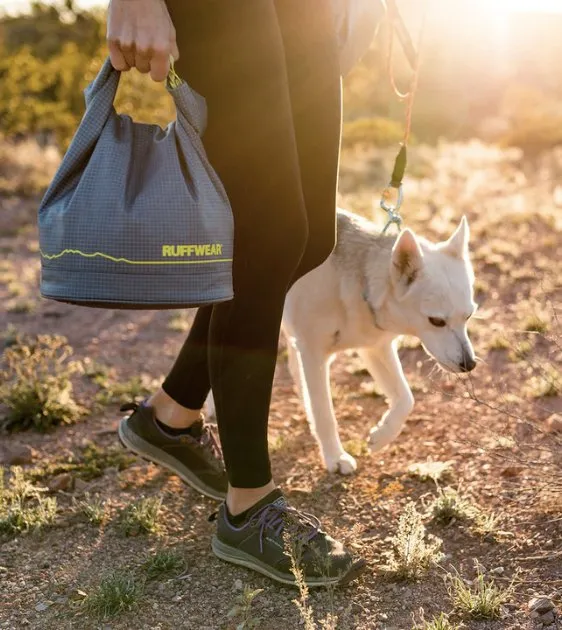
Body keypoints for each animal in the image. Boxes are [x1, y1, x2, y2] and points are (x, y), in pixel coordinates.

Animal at [208, 210, 474, 476]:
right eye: (437, 321)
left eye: (469, 316)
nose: (470, 364)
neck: (360, 282)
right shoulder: (313, 353)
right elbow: (325, 414)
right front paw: (335, 457)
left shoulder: (375, 348)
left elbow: (406, 398)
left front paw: (382, 436)